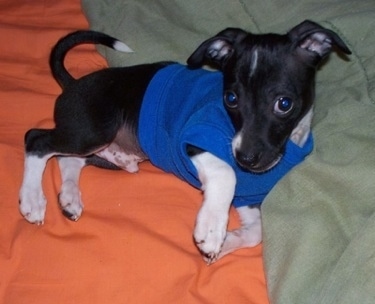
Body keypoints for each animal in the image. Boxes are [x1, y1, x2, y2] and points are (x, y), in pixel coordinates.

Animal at [19, 20, 352, 264]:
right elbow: (226, 174)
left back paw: (69, 198)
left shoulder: (248, 198)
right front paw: (211, 229)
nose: (245, 158)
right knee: (36, 140)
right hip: (93, 130)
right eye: (231, 99)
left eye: (284, 104)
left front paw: (226, 240)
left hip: (102, 151)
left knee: (68, 158)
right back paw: (32, 199)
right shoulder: (195, 140)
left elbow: (256, 233)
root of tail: (73, 84)